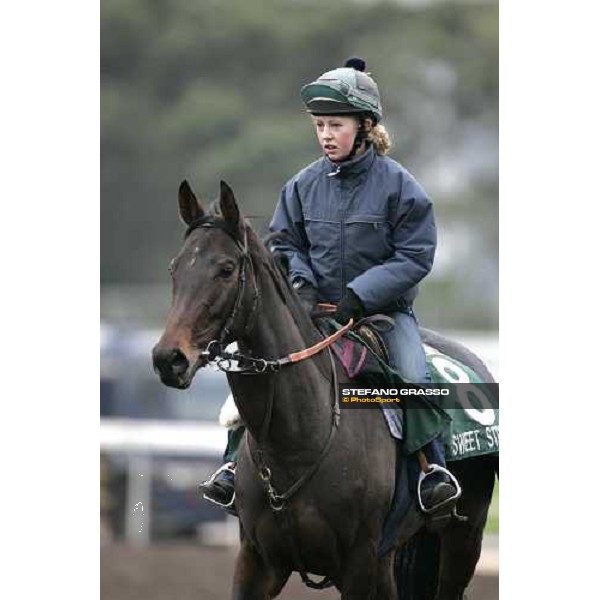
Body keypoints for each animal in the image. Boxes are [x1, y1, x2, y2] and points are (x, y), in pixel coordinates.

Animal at [152, 180, 500, 596]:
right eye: (174, 268)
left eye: (226, 269)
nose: (168, 358)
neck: (299, 441)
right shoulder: (256, 560)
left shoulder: (359, 564)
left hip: (464, 536)